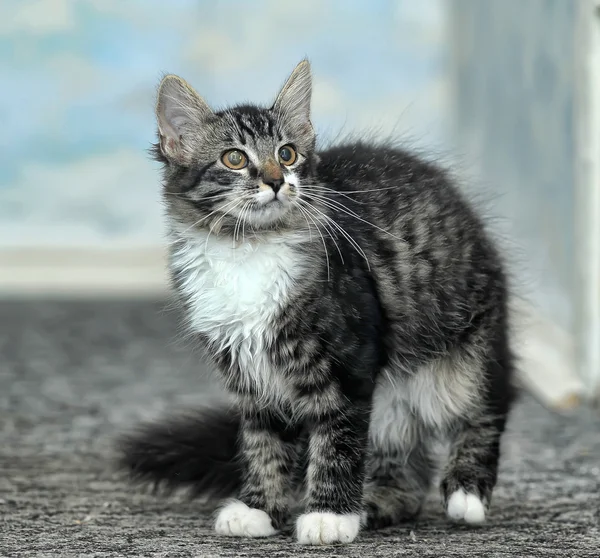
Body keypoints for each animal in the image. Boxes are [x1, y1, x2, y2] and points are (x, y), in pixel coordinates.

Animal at [118, 60, 516, 548]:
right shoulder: (251, 378)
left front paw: (329, 515)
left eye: (287, 154)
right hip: (390, 406)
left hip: (461, 355)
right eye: (235, 159)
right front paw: (258, 508)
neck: (248, 248)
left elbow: (336, 443)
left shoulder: (347, 368)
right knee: (405, 477)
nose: (275, 181)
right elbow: (263, 445)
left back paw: (465, 492)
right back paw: (373, 504)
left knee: (485, 411)